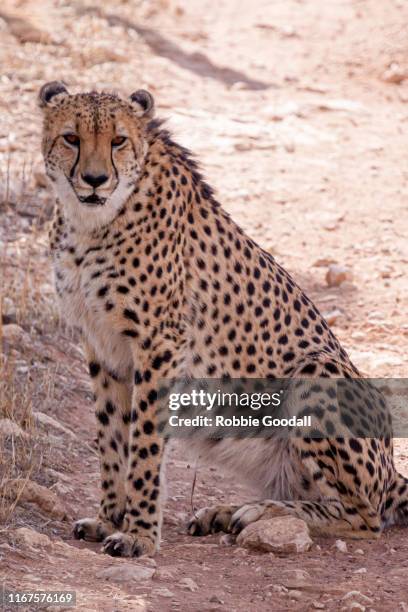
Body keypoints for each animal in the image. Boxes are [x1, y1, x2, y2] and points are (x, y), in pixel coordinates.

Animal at [39, 82, 408, 560]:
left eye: (118, 140)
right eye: (71, 138)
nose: (95, 179)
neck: (93, 220)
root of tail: (390, 473)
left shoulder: (160, 342)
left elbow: (144, 441)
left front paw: (139, 533)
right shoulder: (102, 343)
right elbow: (112, 436)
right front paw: (108, 519)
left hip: (316, 372)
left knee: (366, 517)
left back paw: (260, 513)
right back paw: (227, 512)